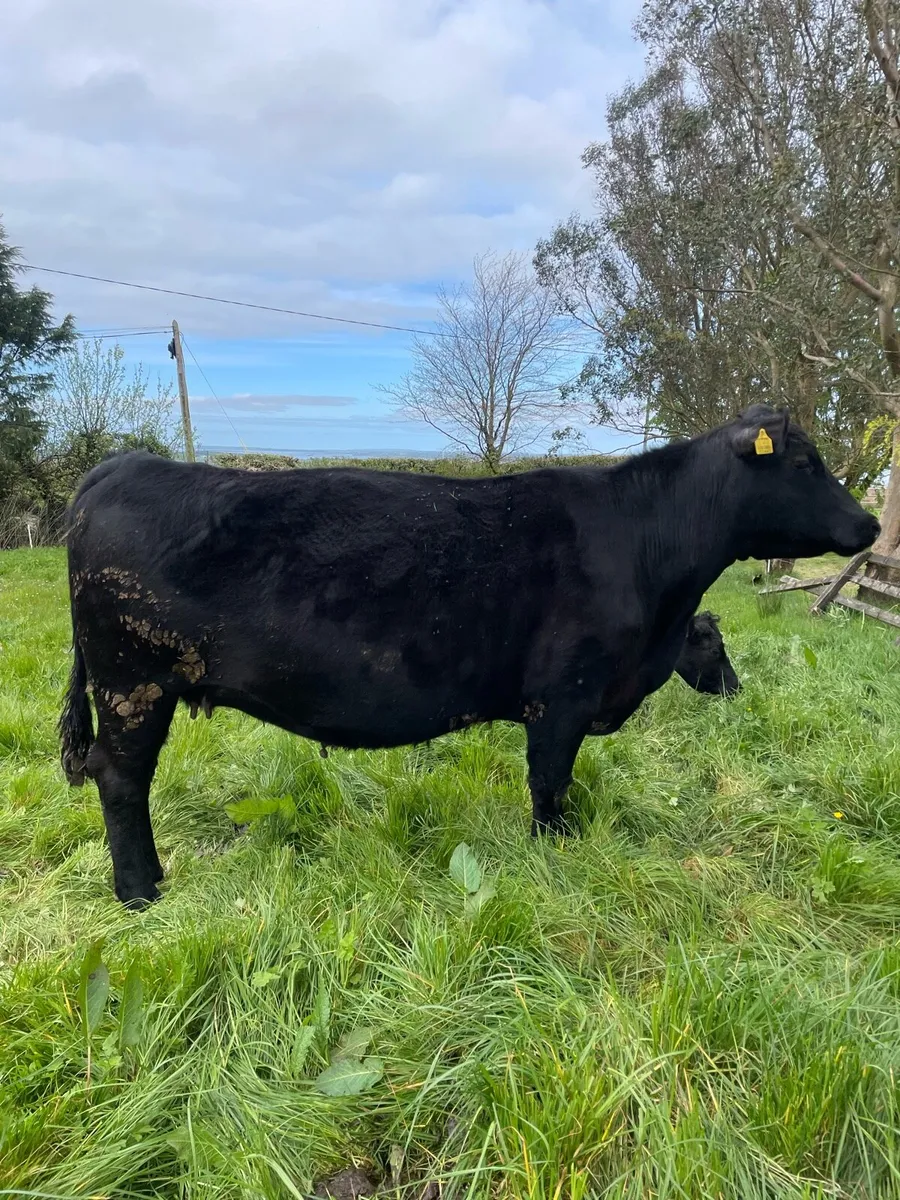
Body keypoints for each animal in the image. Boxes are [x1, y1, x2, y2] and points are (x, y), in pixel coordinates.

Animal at [59, 404, 878, 907]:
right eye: (804, 464)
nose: (870, 524)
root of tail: (122, 465)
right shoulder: (563, 697)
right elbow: (550, 786)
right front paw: (556, 856)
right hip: (131, 681)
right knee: (120, 779)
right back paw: (142, 892)